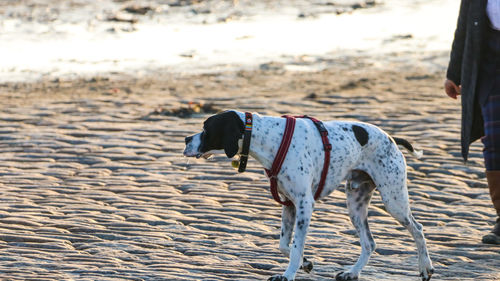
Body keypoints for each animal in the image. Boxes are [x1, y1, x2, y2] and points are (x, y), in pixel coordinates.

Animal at [184, 109, 434, 280]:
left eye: (206, 129)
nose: (186, 139)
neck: (271, 138)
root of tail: (391, 138)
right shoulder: (289, 204)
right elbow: (284, 245)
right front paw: (304, 264)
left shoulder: (305, 204)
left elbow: (295, 246)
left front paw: (288, 275)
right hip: (355, 205)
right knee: (369, 243)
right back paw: (352, 272)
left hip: (393, 200)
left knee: (418, 229)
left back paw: (426, 268)